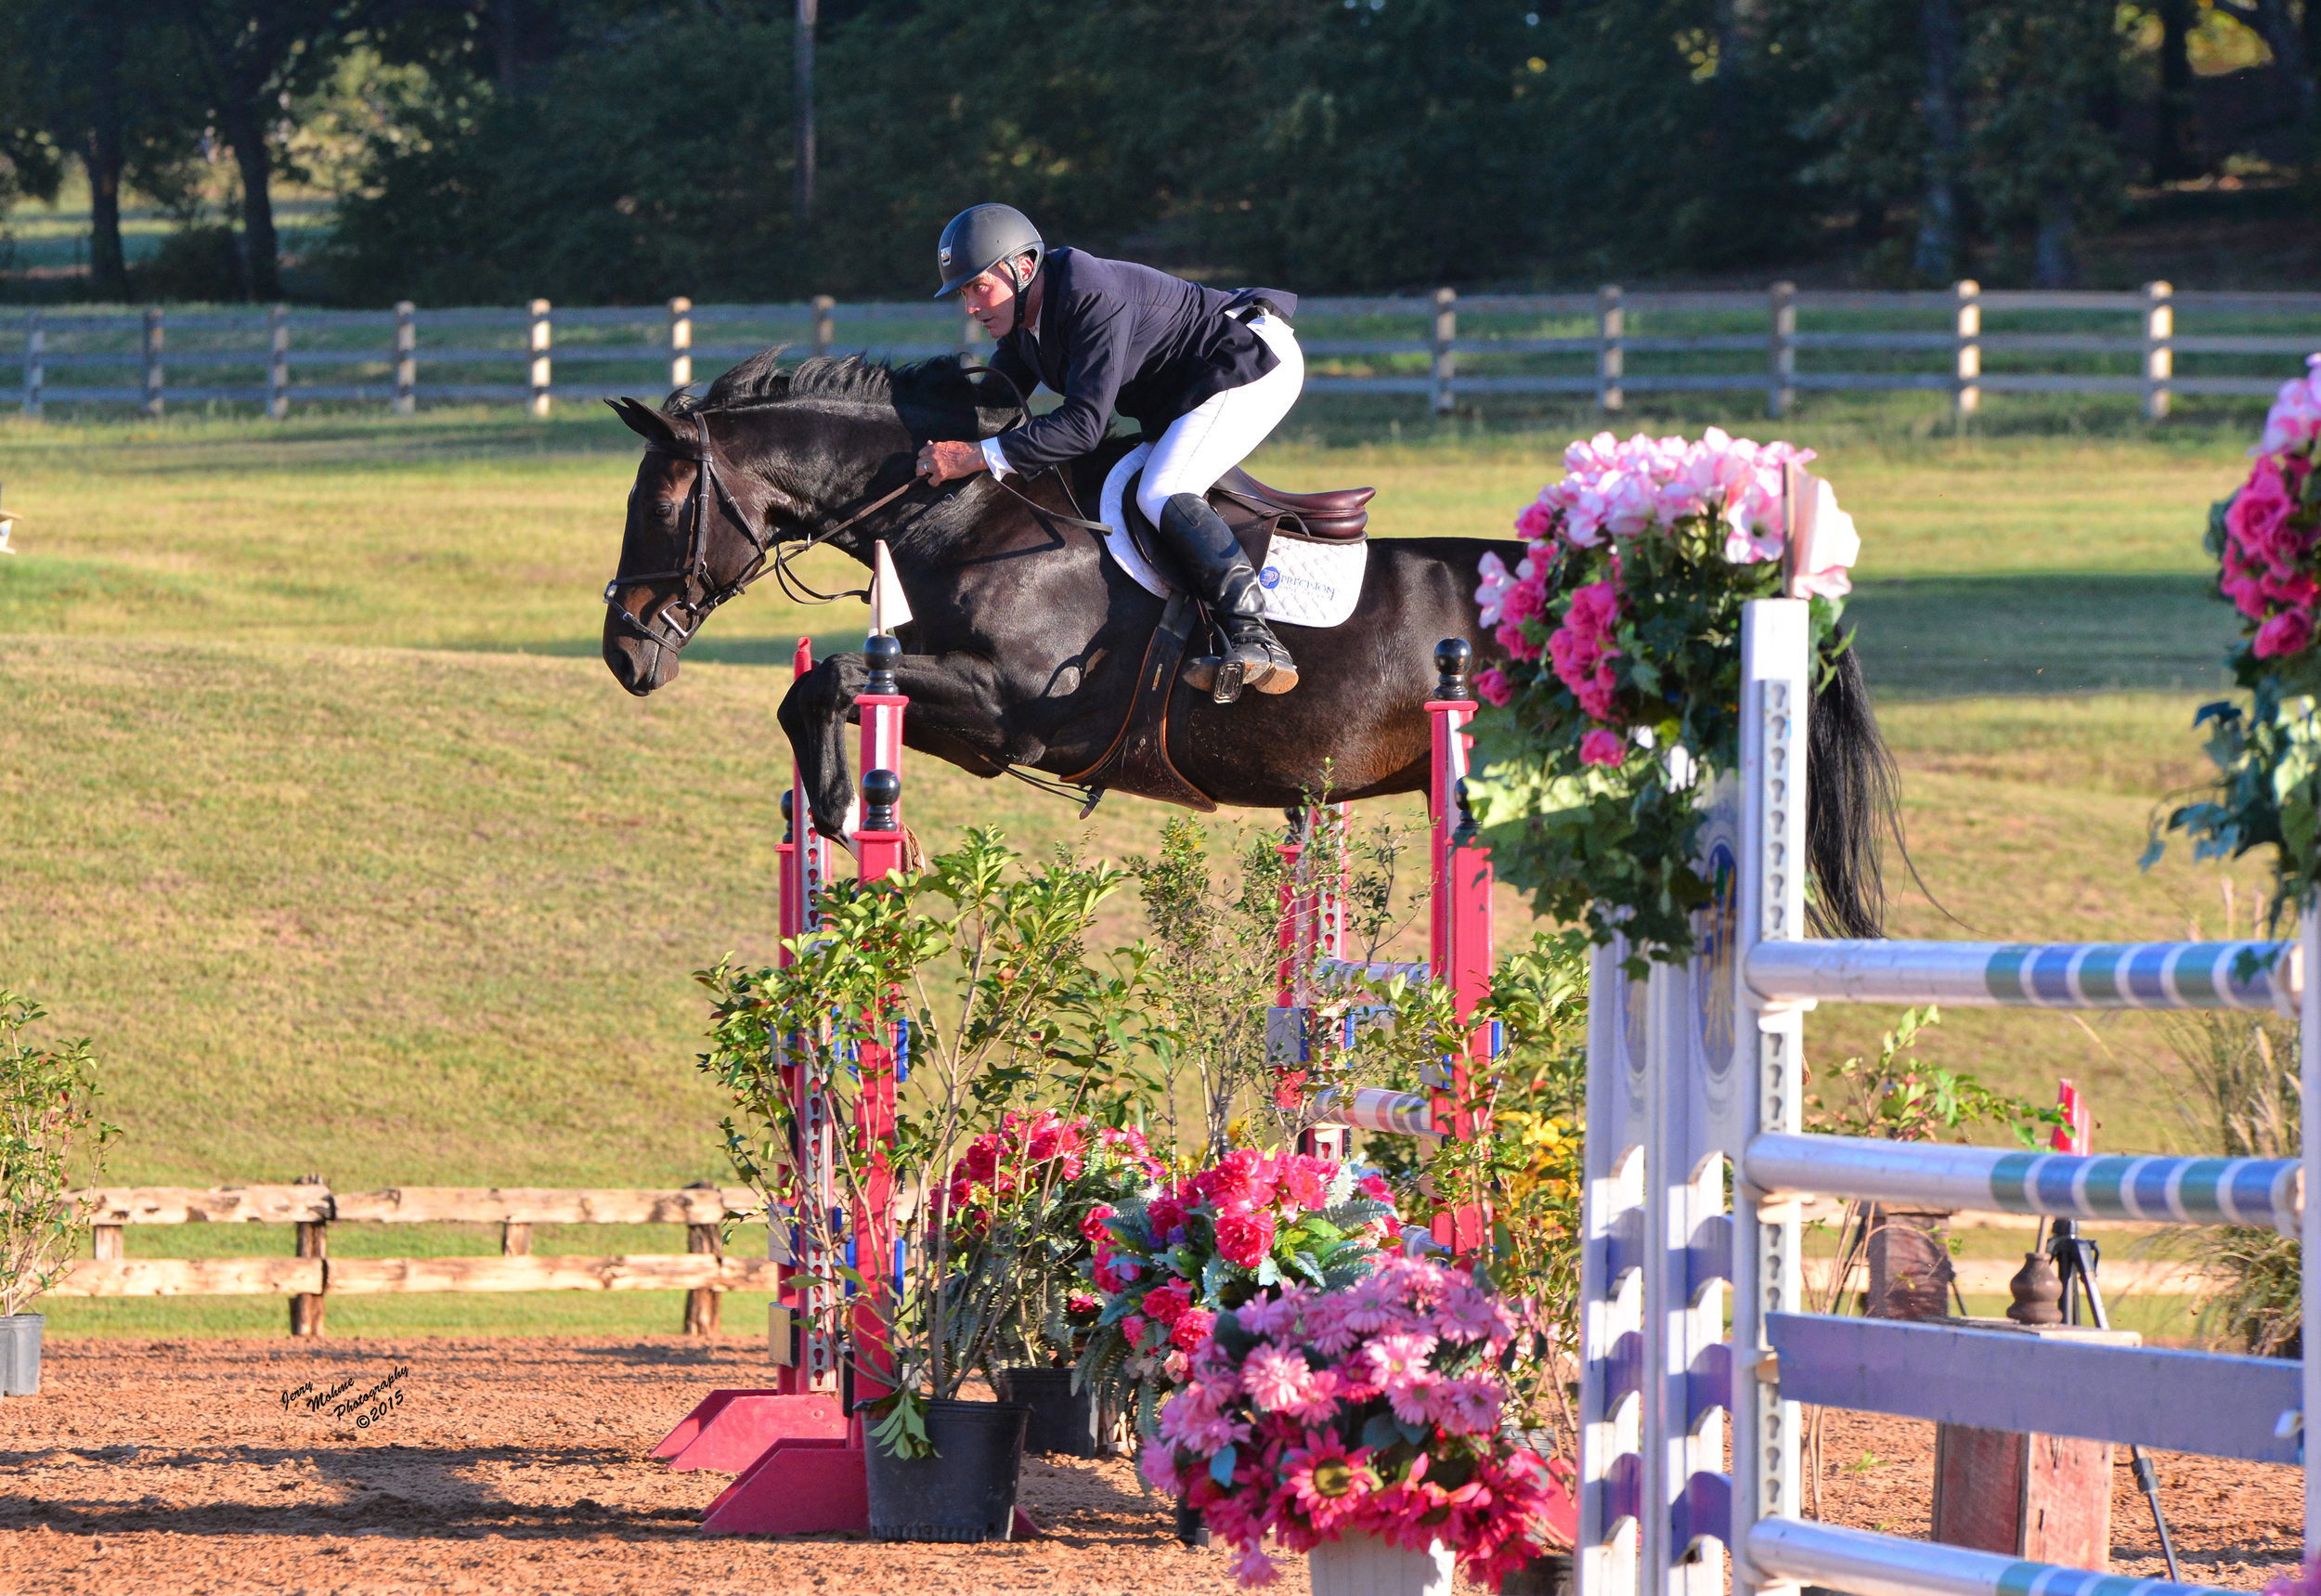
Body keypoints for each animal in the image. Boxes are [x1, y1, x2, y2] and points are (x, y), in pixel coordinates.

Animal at [603, 347, 1903, 937]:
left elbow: (830, 683)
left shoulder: (1018, 710)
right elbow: (815, 688)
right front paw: (840, 817)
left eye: (662, 502)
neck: (963, 513)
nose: (624, 651)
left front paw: (838, 808)